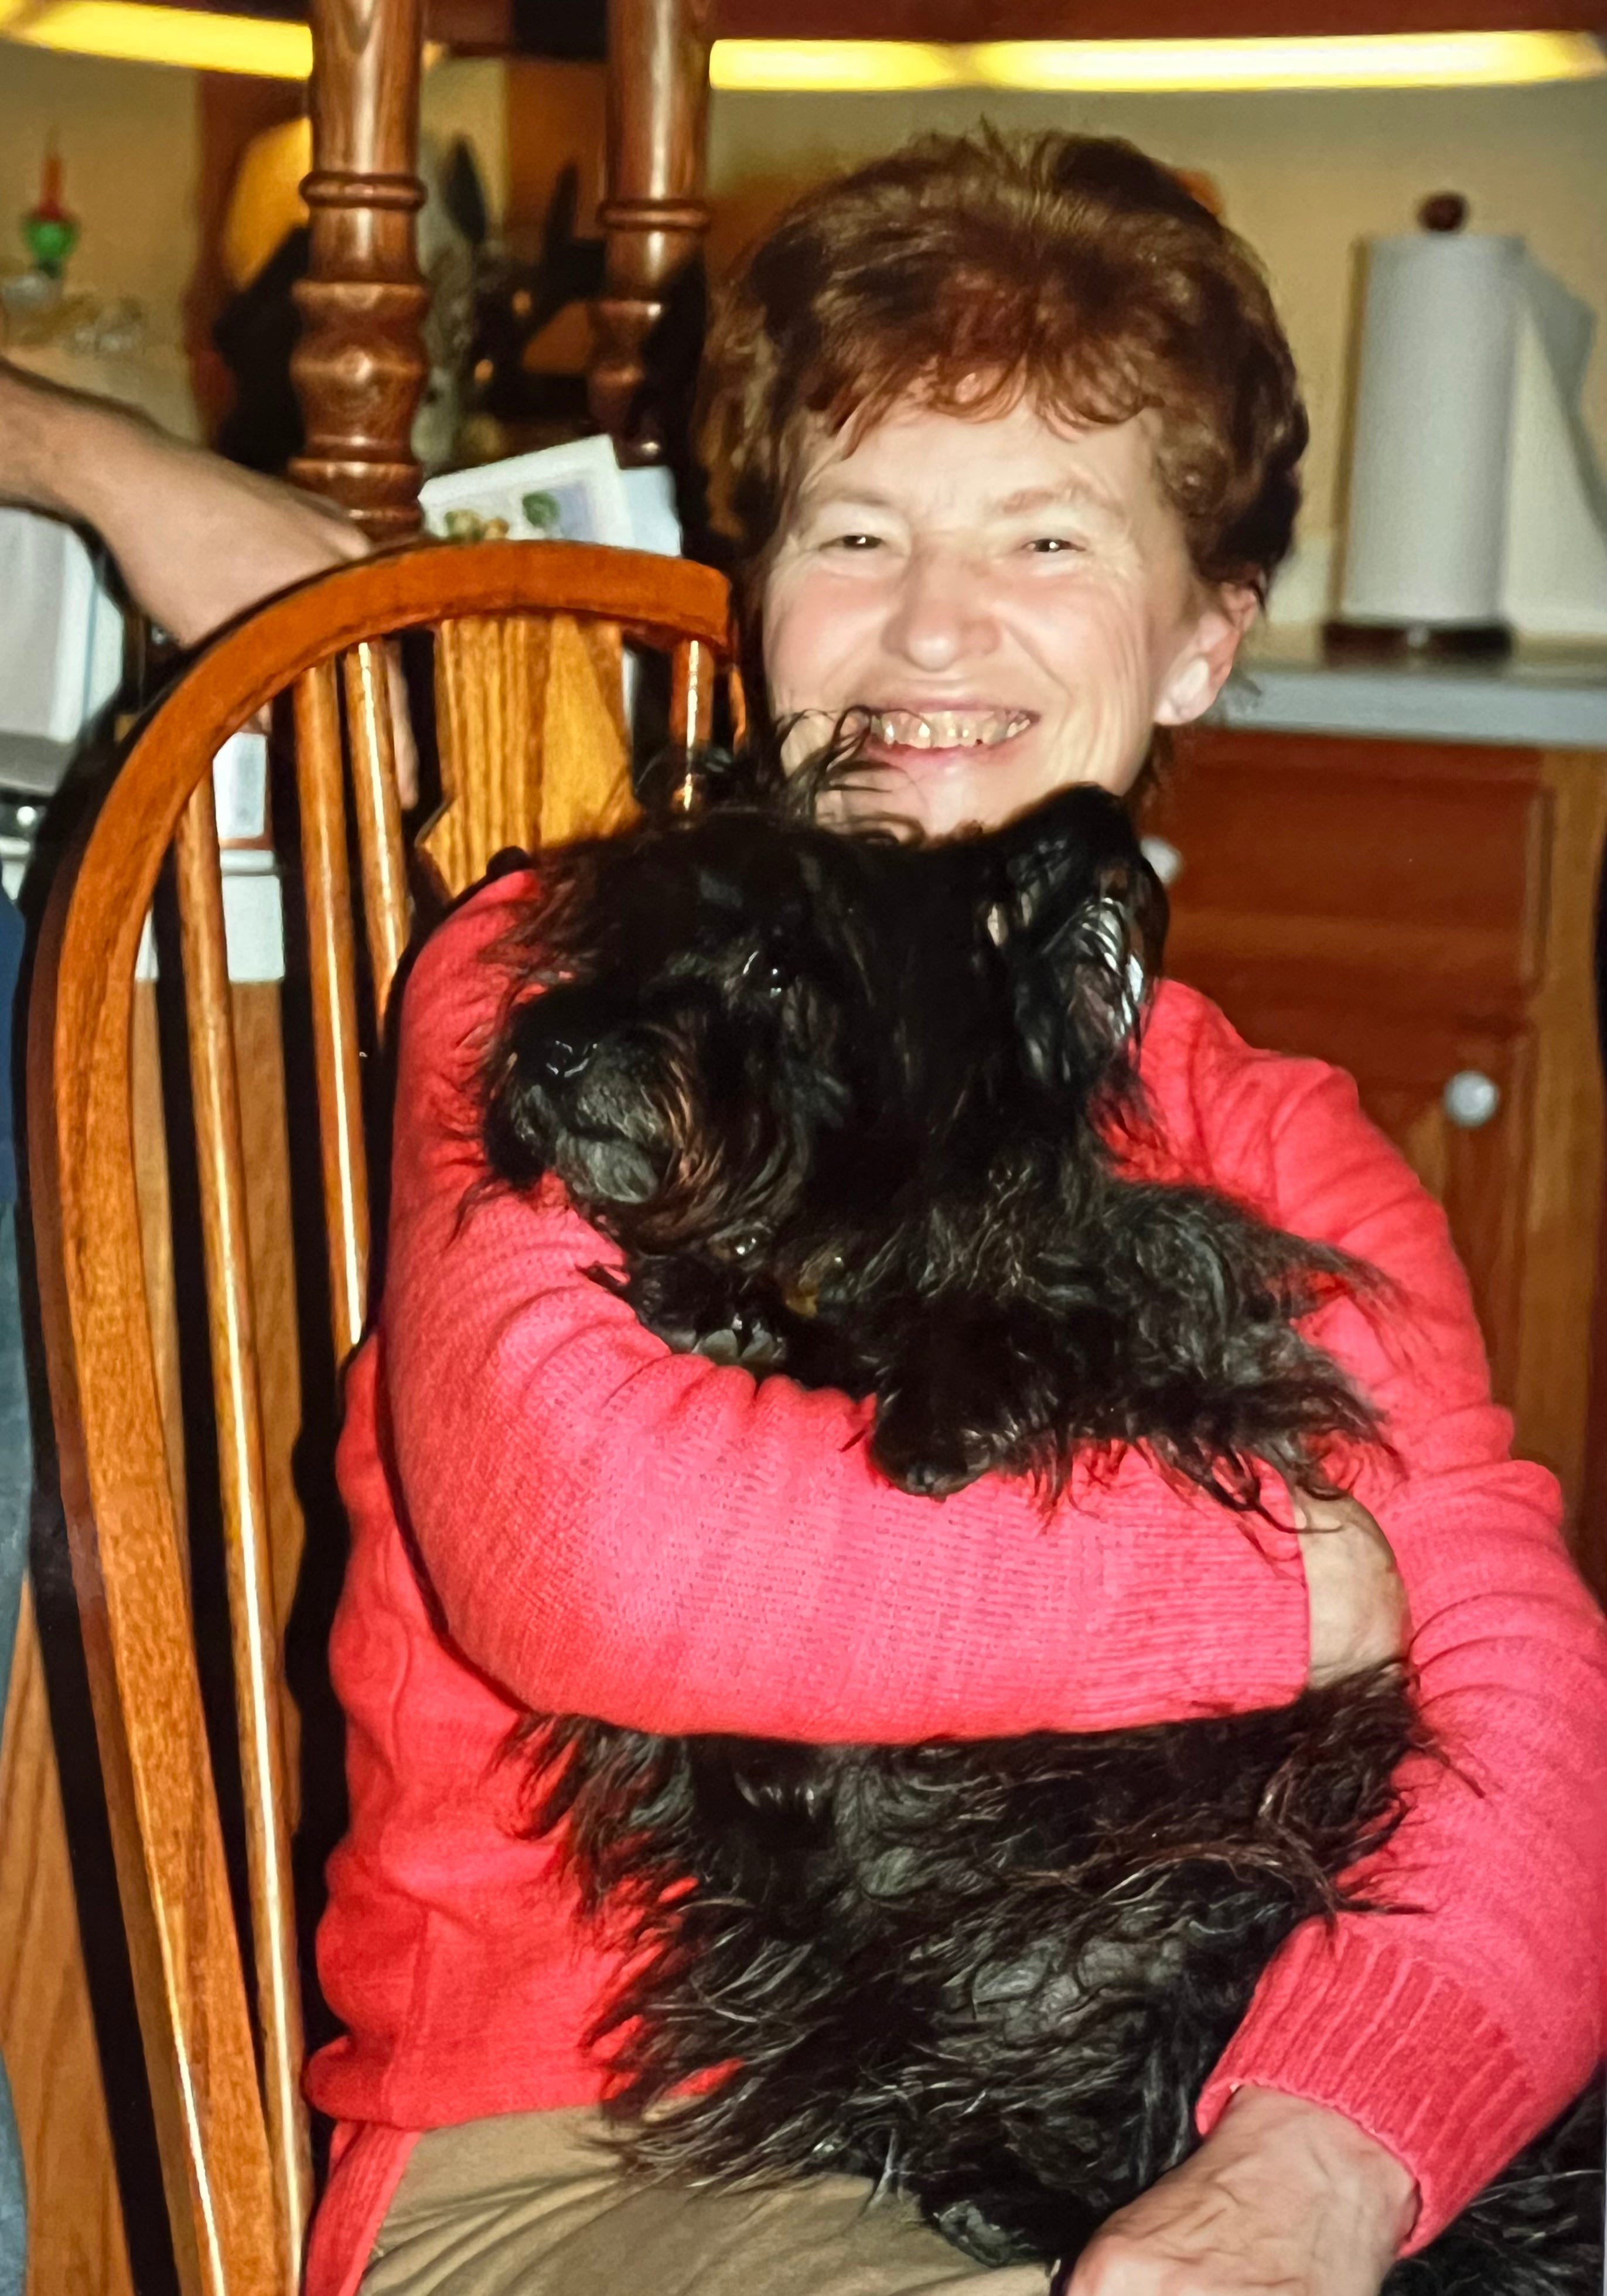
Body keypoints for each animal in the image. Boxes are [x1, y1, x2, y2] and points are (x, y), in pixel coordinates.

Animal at [480, 754, 1604, 2291]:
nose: (550, 1050)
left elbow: (1057, 1330)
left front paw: (939, 1401)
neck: (845, 1255)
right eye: (612, 943)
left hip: (1215, 1908)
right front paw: (716, 1306)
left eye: (776, 965)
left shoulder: (1172, 1342)